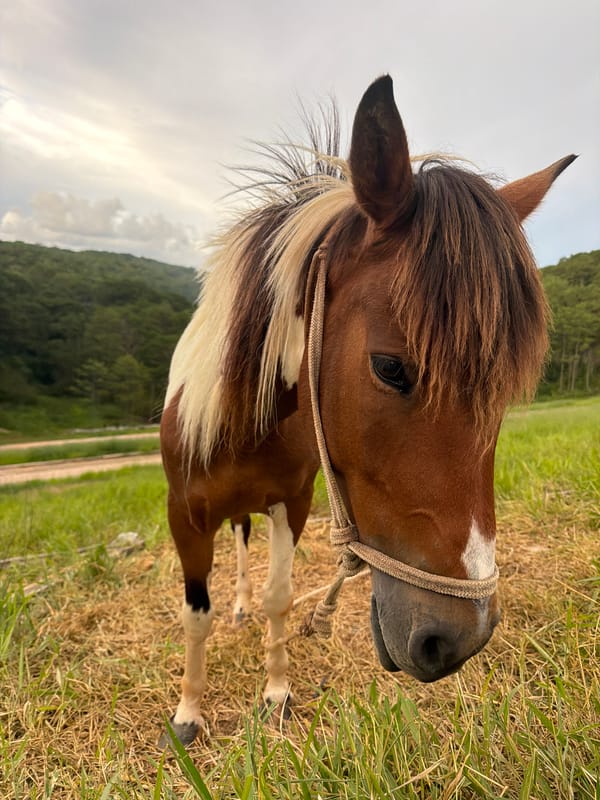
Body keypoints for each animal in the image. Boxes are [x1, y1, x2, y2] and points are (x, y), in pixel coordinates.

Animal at [160, 75, 575, 745]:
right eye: (391, 368)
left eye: (503, 393)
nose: (460, 639)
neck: (240, 428)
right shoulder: (184, 517)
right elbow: (195, 615)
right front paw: (189, 713)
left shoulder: (291, 503)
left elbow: (279, 597)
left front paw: (276, 693)